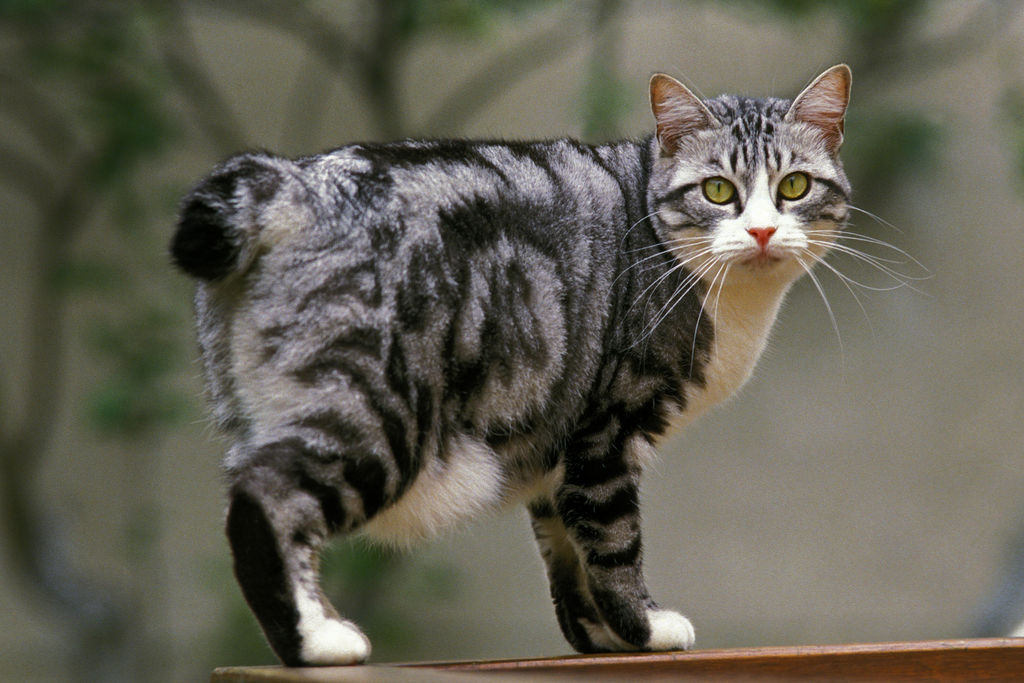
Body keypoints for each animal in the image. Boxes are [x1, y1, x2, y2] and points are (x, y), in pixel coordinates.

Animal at [172, 65, 851, 667]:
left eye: (794, 187)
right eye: (718, 191)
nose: (762, 233)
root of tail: (291, 179)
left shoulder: (558, 443)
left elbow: (568, 547)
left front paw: (599, 635)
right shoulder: (607, 429)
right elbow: (612, 537)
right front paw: (643, 627)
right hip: (377, 408)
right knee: (266, 499)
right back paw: (316, 641)